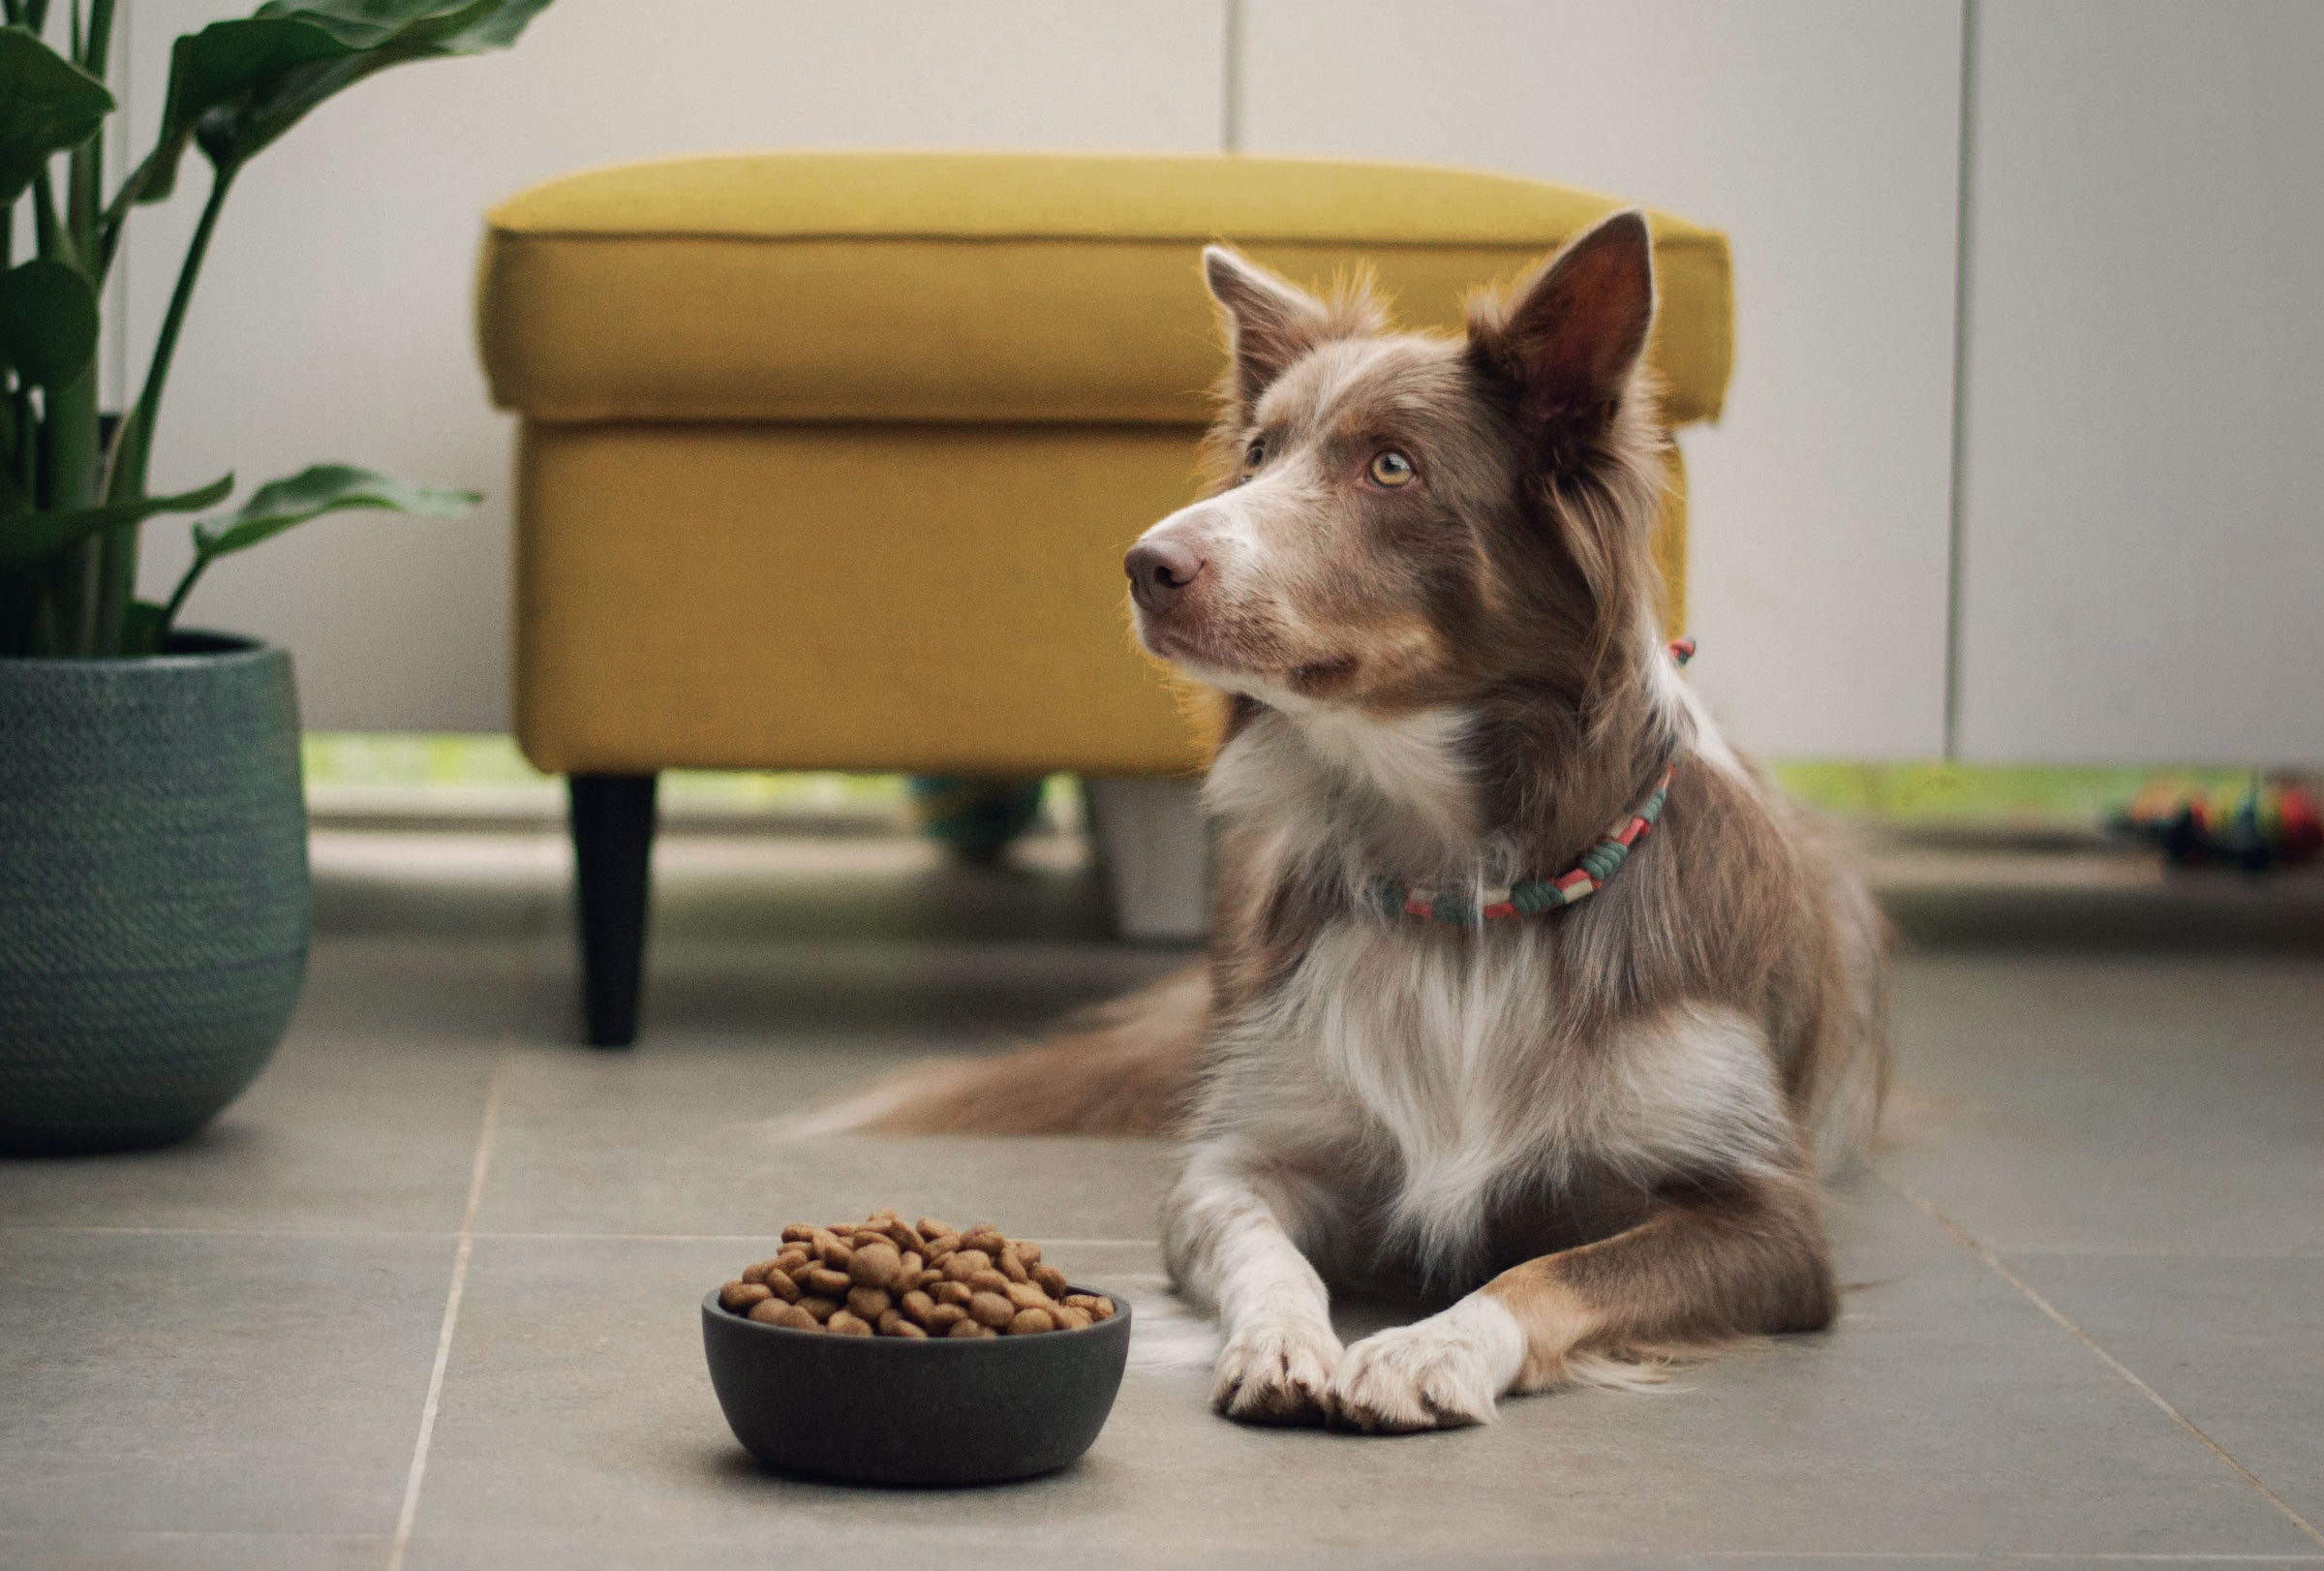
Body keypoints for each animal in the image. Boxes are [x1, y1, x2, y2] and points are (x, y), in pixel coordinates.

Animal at [837, 211, 1886, 1432]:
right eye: (1256, 454)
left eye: (1392, 465)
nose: (1145, 564)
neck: (1468, 887)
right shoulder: (1236, 1158)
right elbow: (1265, 1247)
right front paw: (1287, 1339)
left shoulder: (1770, 1220)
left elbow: (1548, 1268)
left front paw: (1429, 1346)